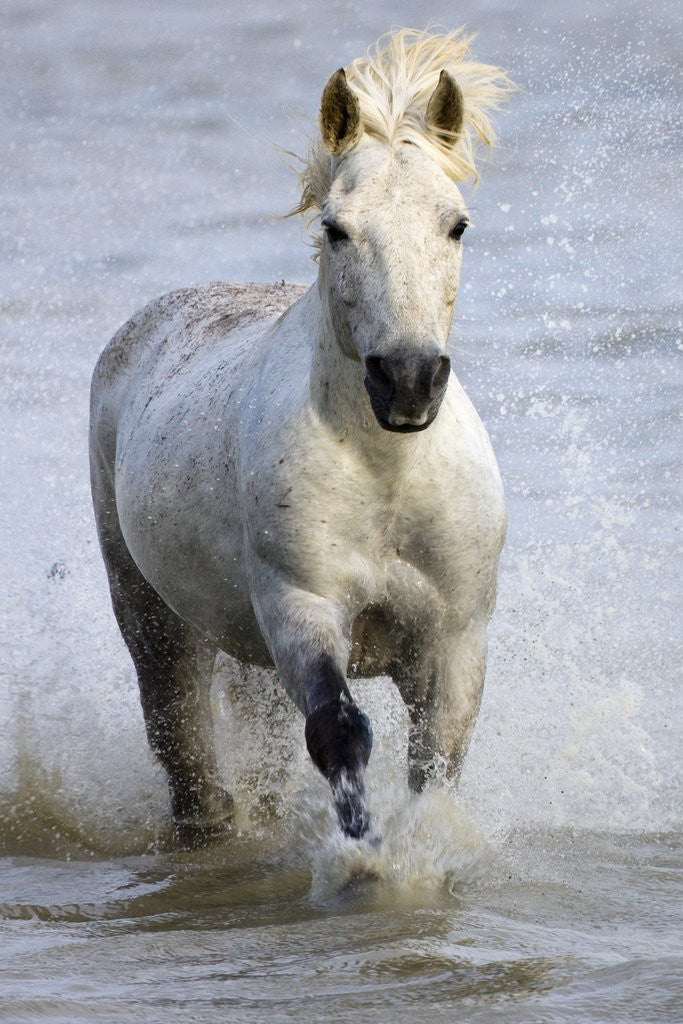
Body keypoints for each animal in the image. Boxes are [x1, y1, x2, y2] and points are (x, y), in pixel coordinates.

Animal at [89, 29, 510, 845]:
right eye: (336, 229)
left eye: (456, 224)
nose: (407, 379)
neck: (387, 474)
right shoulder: (301, 607)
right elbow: (339, 732)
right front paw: (364, 854)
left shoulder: (453, 642)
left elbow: (436, 762)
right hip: (152, 619)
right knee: (187, 756)